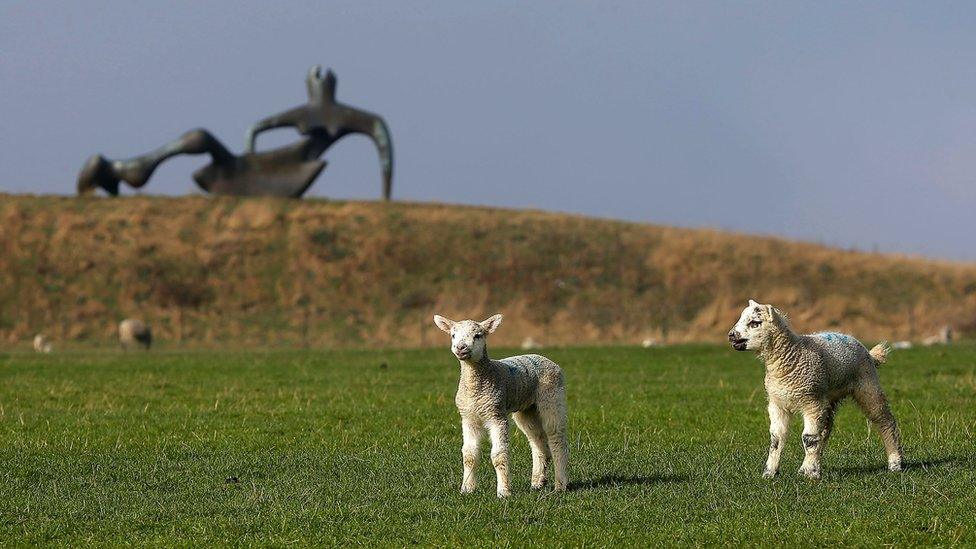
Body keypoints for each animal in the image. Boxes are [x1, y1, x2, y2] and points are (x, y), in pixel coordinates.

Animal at [430, 312, 568, 496]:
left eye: (477, 335)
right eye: (453, 335)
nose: (461, 348)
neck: (476, 388)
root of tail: (544, 358)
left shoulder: (496, 415)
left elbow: (499, 455)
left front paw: (503, 492)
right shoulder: (468, 418)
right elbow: (469, 455)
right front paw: (467, 489)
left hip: (552, 397)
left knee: (556, 438)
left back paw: (560, 485)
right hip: (527, 409)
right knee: (537, 441)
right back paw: (537, 482)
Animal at [728, 300, 904, 480]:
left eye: (755, 323)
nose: (731, 335)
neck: (791, 356)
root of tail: (869, 353)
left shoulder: (811, 402)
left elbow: (809, 439)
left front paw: (810, 474)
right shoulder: (777, 403)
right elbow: (776, 439)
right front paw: (770, 473)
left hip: (867, 386)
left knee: (885, 421)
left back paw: (895, 463)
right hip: (828, 397)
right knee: (826, 429)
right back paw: (813, 464)